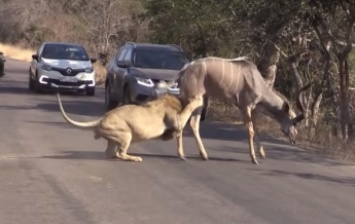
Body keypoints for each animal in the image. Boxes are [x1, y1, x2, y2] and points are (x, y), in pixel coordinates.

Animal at [56, 92, 195, 162]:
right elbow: (185, 114)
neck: (165, 101)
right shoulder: (176, 123)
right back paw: (135, 158)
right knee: (121, 153)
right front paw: (196, 101)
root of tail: (102, 119)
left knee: (110, 152)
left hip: (114, 138)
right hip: (126, 135)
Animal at [174, 56, 310, 164]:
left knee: (193, 123)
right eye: (294, 122)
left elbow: (256, 129)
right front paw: (254, 158)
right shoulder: (245, 106)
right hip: (194, 99)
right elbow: (250, 130)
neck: (260, 84)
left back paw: (203, 155)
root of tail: (184, 71)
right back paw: (182, 155)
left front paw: (262, 154)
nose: (294, 139)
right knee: (182, 119)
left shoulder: (253, 109)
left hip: (196, 100)